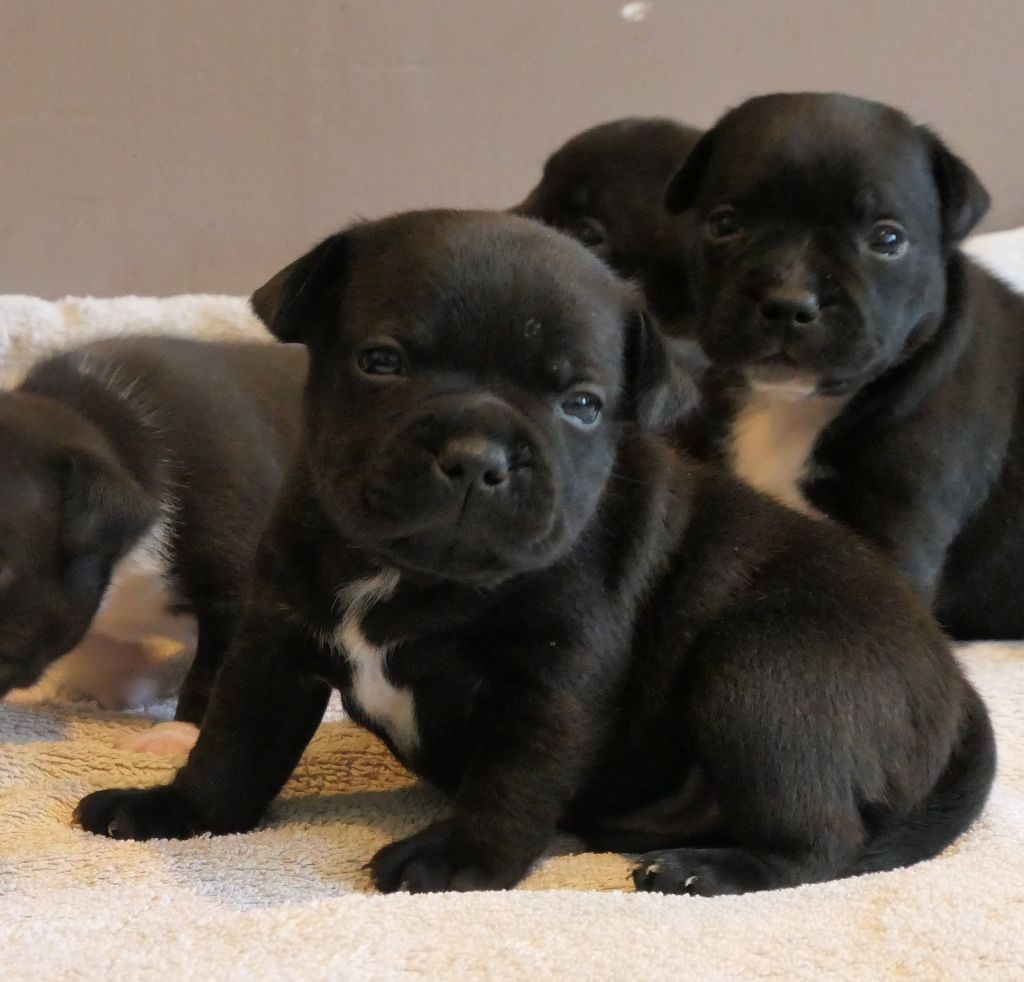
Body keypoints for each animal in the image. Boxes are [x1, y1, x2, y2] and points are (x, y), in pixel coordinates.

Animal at [75, 210, 993, 896]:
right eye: (382, 362)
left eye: (582, 404)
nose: (477, 453)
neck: (411, 572)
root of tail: (955, 691)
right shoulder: (274, 643)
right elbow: (234, 746)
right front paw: (174, 810)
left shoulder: (551, 682)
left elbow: (513, 779)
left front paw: (459, 861)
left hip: (761, 671)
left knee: (821, 840)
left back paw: (708, 869)